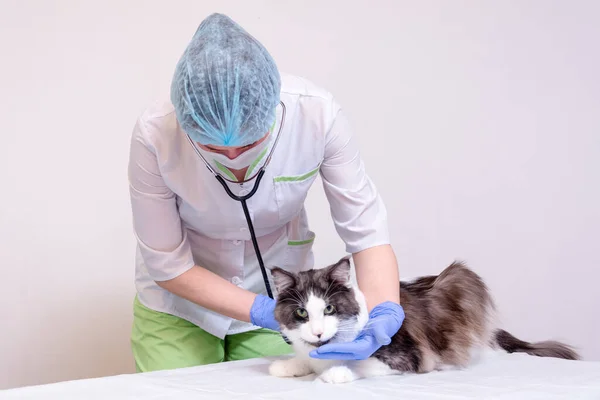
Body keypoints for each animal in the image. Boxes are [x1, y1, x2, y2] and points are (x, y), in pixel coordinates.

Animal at [270, 256, 580, 384]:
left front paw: (336, 373)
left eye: (330, 309)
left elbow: (360, 364)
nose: (318, 333)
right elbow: (304, 360)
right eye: (302, 313)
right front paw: (286, 366)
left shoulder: (407, 356)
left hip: (461, 277)